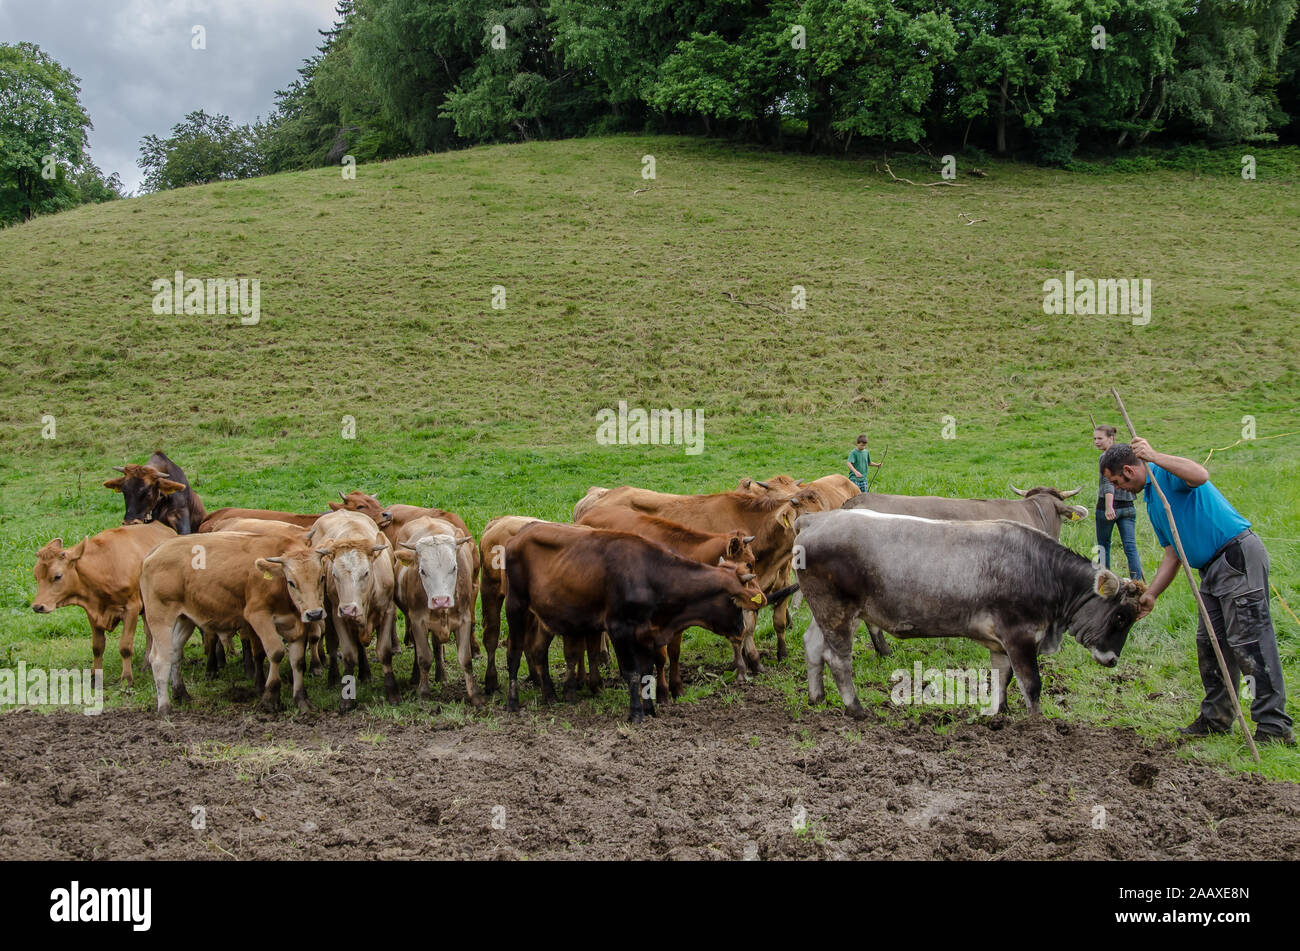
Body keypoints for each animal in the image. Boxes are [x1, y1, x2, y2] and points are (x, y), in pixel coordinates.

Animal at [137, 527, 327, 711]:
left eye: (322, 578)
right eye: (291, 582)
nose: (314, 614)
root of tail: (156, 551)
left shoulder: (296, 624)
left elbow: (298, 661)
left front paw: (301, 699)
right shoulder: (257, 616)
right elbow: (276, 652)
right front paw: (270, 698)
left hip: (184, 619)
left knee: (175, 652)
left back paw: (181, 693)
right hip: (160, 618)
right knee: (159, 659)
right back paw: (164, 707)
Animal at [790, 509, 1149, 717]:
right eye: (1120, 617)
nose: (1112, 659)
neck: (1042, 571)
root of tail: (815, 519)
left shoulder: (1001, 642)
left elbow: (1003, 676)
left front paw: (997, 712)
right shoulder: (1019, 635)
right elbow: (1031, 684)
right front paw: (1037, 725)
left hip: (823, 611)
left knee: (813, 646)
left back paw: (817, 697)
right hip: (838, 611)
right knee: (838, 659)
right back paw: (856, 709)